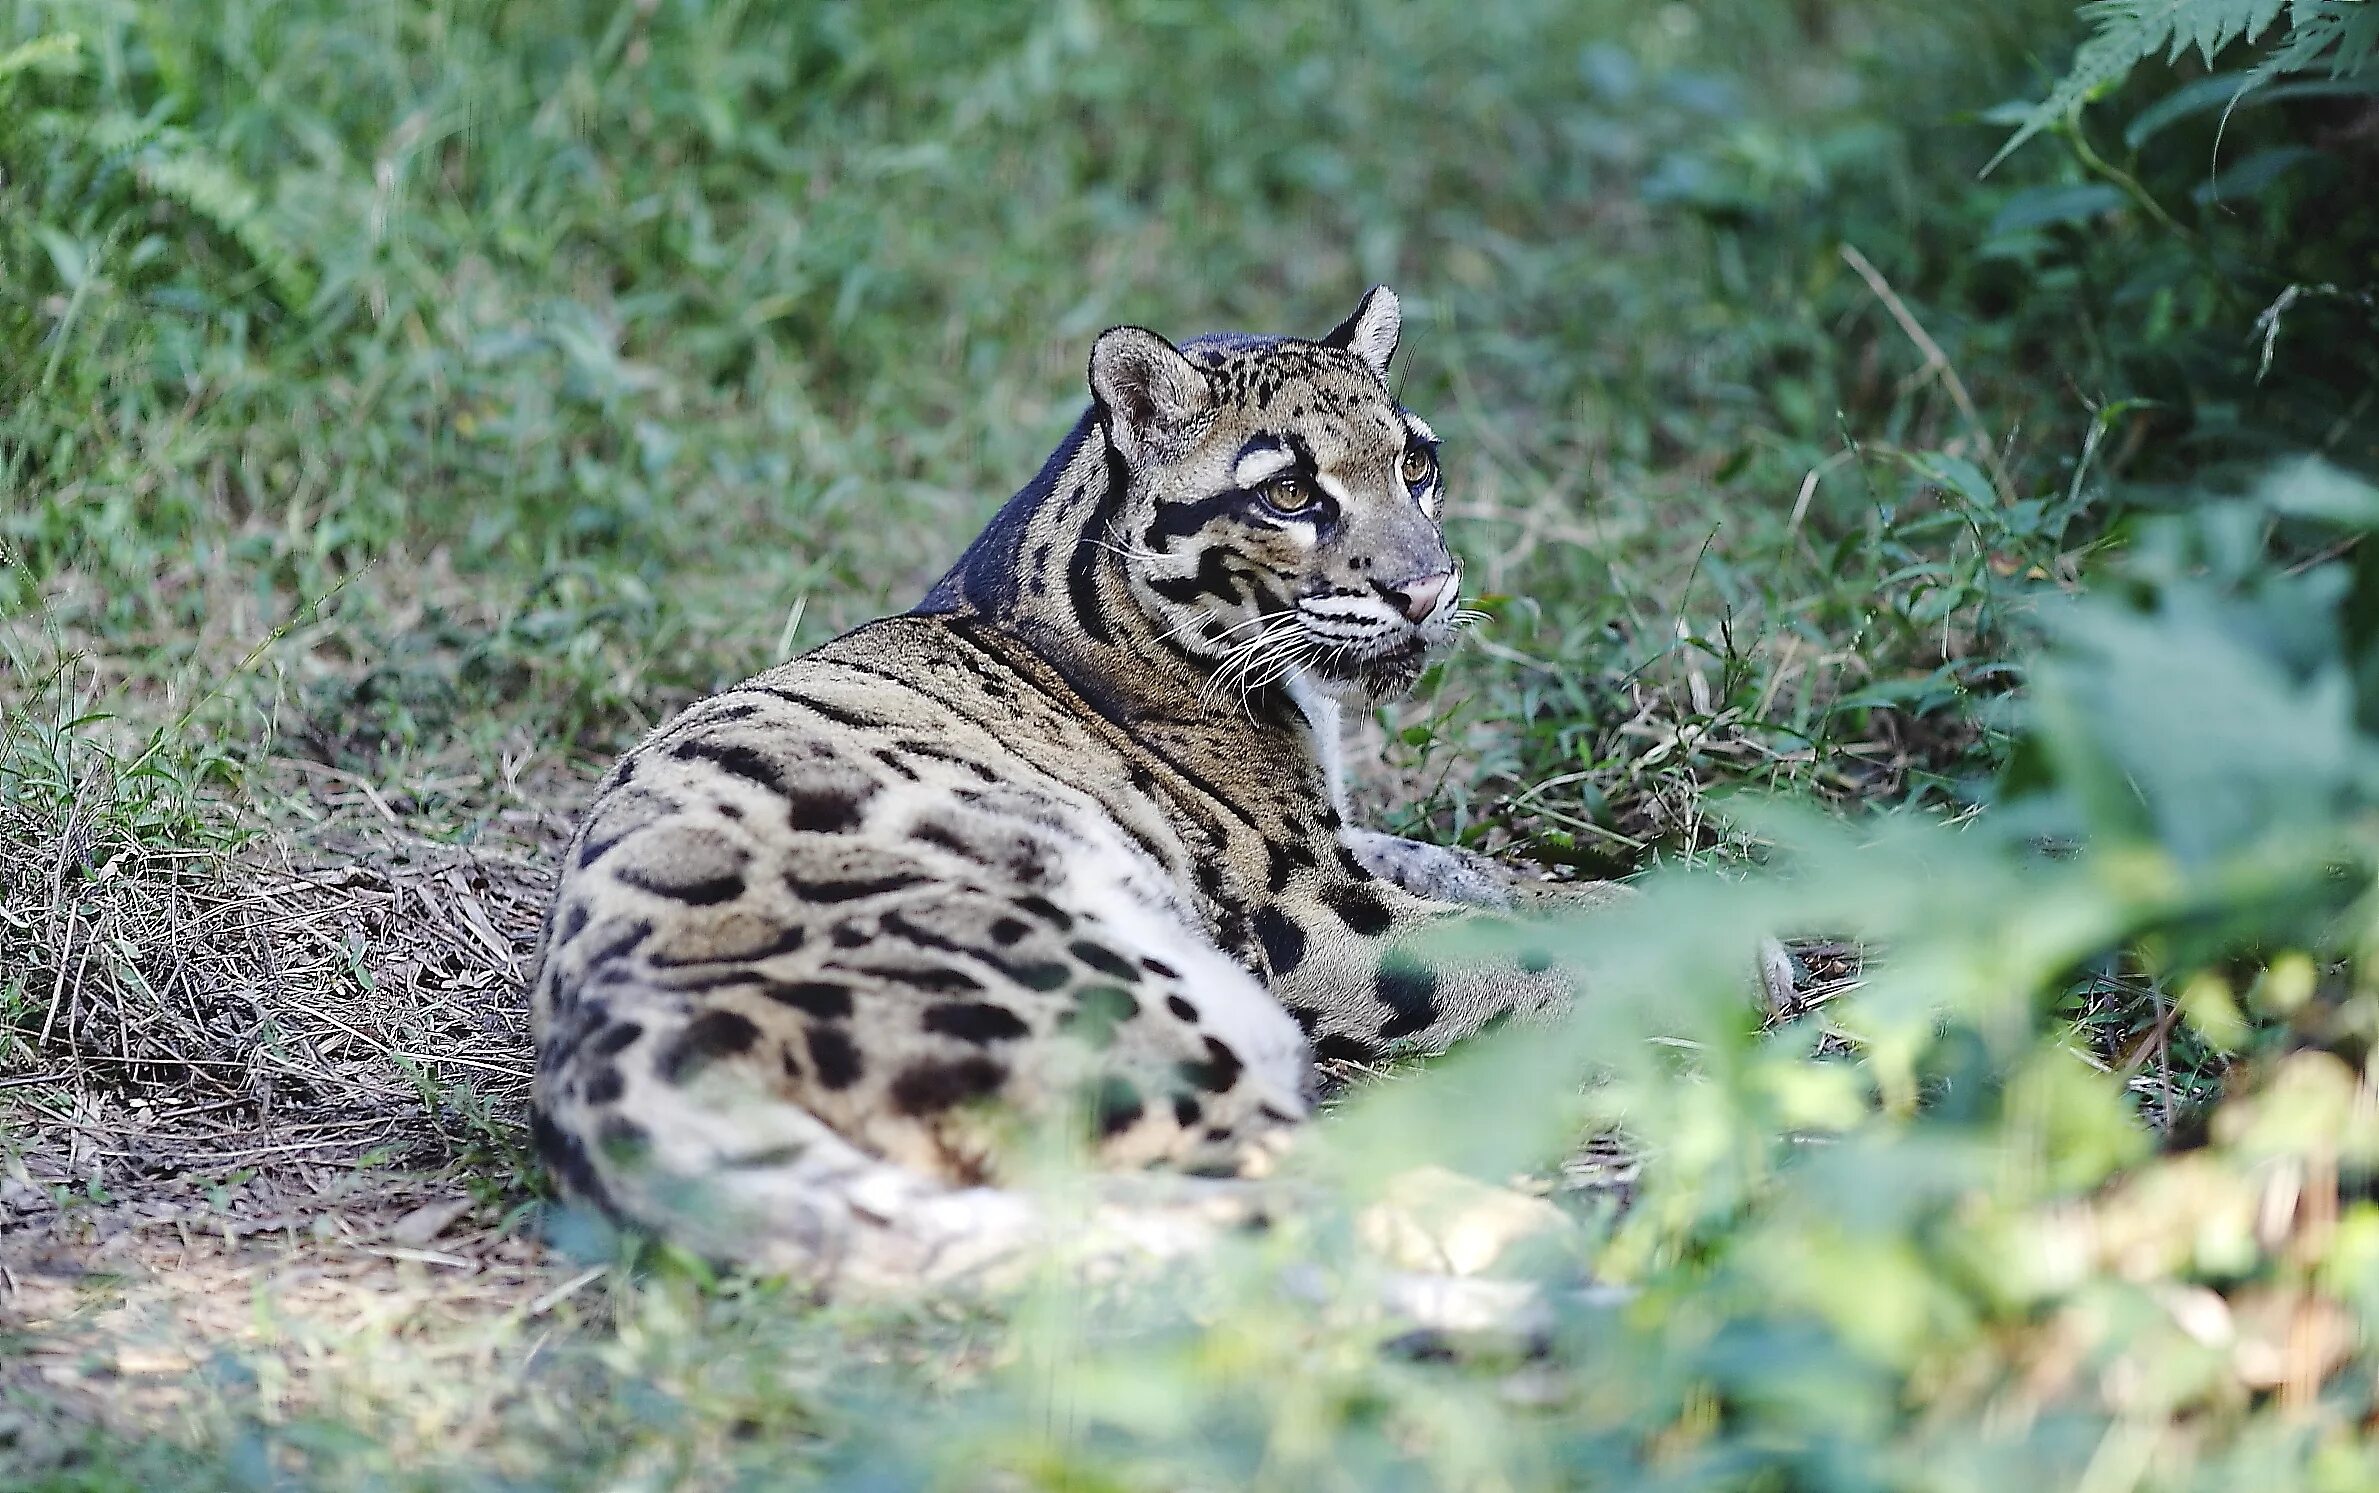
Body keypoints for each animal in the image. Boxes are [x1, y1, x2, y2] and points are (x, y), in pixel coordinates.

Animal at [528, 288, 1627, 1283]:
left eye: (1416, 463)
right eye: (1287, 493)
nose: (1427, 589)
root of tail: (593, 1059)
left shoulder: (1344, 846)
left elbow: (1491, 878)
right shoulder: (1306, 909)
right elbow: (1527, 949)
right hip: (1125, 1014)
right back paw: (1548, 1245)